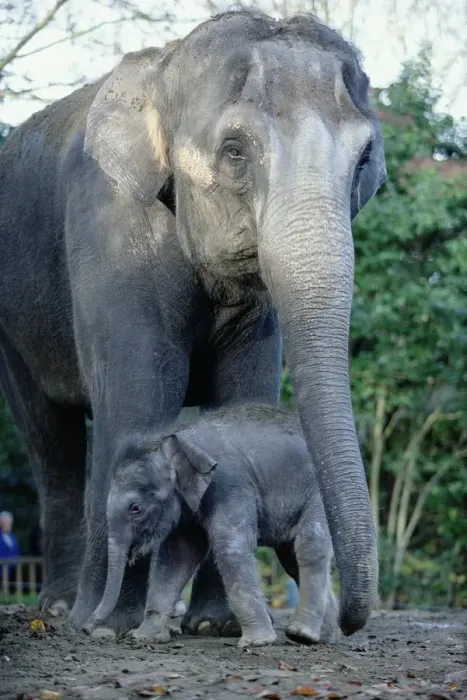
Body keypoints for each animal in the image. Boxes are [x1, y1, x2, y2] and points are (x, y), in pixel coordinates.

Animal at [84, 404, 340, 648]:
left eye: (135, 508)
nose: (87, 628)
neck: (178, 439)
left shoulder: (229, 483)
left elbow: (230, 547)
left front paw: (257, 642)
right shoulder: (188, 510)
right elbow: (177, 557)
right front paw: (145, 638)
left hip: (320, 494)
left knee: (310, 544)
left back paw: (301, 633)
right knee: (291, 559)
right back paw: (322, 636)